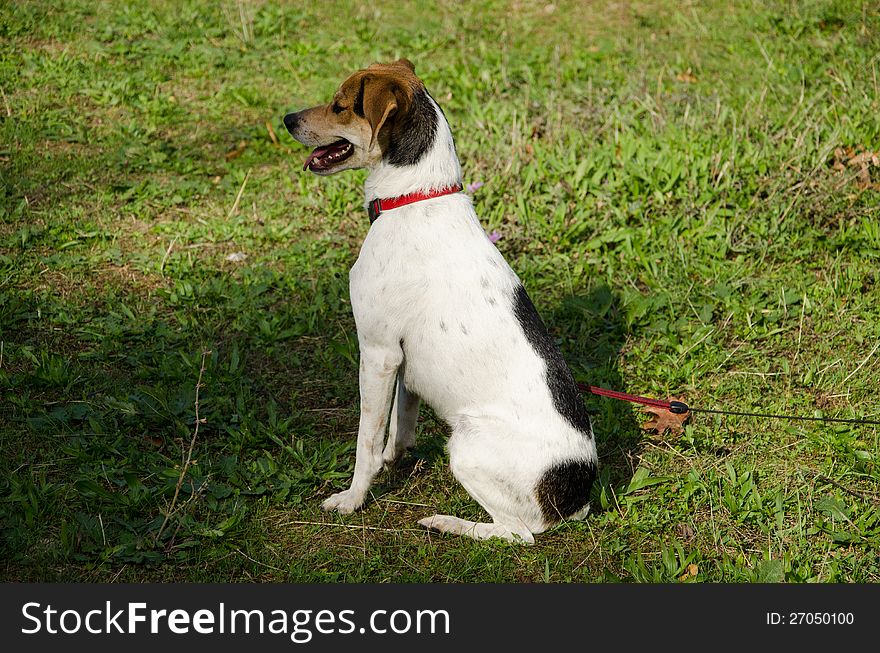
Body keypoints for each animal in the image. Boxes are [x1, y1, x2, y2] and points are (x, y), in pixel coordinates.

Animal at [284, 59, 600, 540]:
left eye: (339, 105)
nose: (287, 119)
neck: (413, 197)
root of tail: (577, 495)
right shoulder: (402, 363)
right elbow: (400, 425)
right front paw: (395, 459)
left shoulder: (377, 353)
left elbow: (366, 442)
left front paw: (353, 498)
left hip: (466, 443)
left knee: (518, 533)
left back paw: (446, 522)